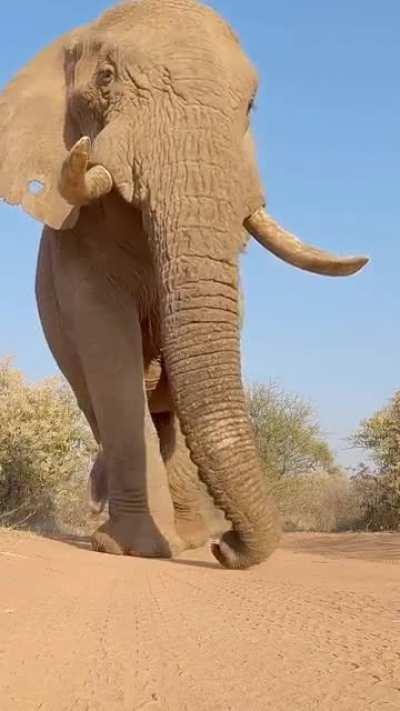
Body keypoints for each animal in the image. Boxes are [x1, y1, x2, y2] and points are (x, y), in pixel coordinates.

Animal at [0, 0, 369, 569]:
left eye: (250, 106)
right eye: (106, 79)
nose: (228, 545)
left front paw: (171, 544)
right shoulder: (75, 249)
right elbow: (110, 356)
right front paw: (133, 549)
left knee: (166, 414)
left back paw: (187, 536)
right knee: (102, 405)